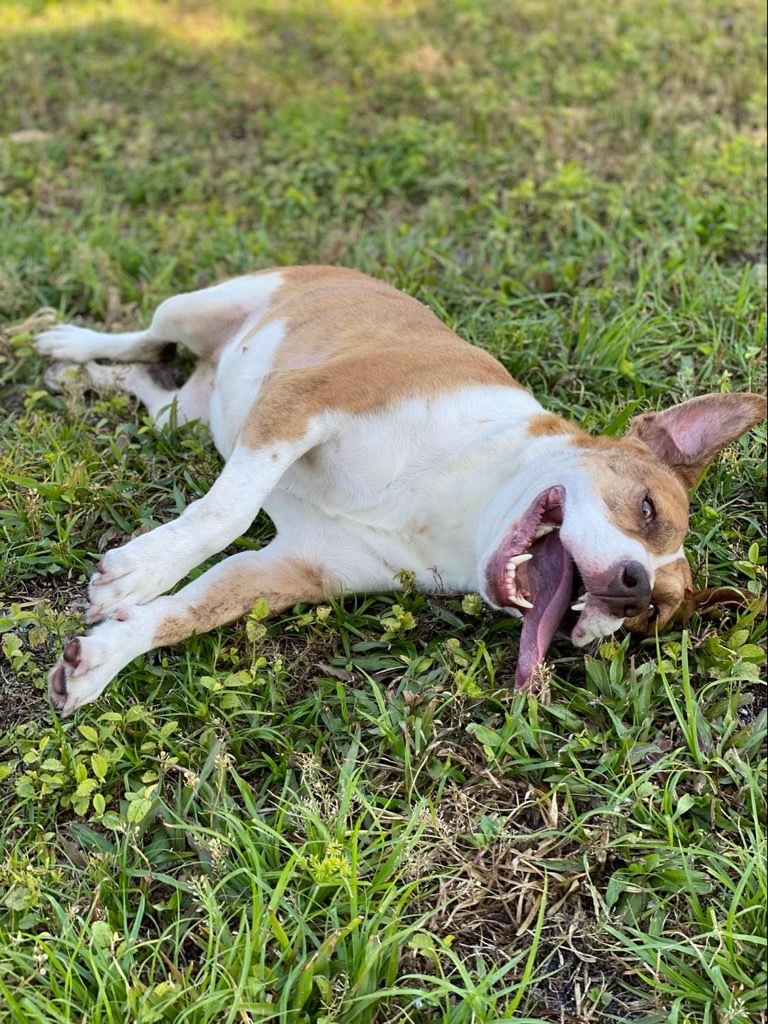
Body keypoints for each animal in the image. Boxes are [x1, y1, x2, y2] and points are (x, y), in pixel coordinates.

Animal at [37, 264, 768, 716]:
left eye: (648, 619)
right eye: (647, 509)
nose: (633, 587)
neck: (464, 512)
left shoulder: (288, 569)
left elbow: (189, 611)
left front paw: (103, 658)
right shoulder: (302, 402)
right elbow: (226, 513)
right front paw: (141, 572)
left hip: (182, 411)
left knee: (148, 383)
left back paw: (87, 379)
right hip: (198, 310)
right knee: (144, 336)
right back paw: (71, 345)